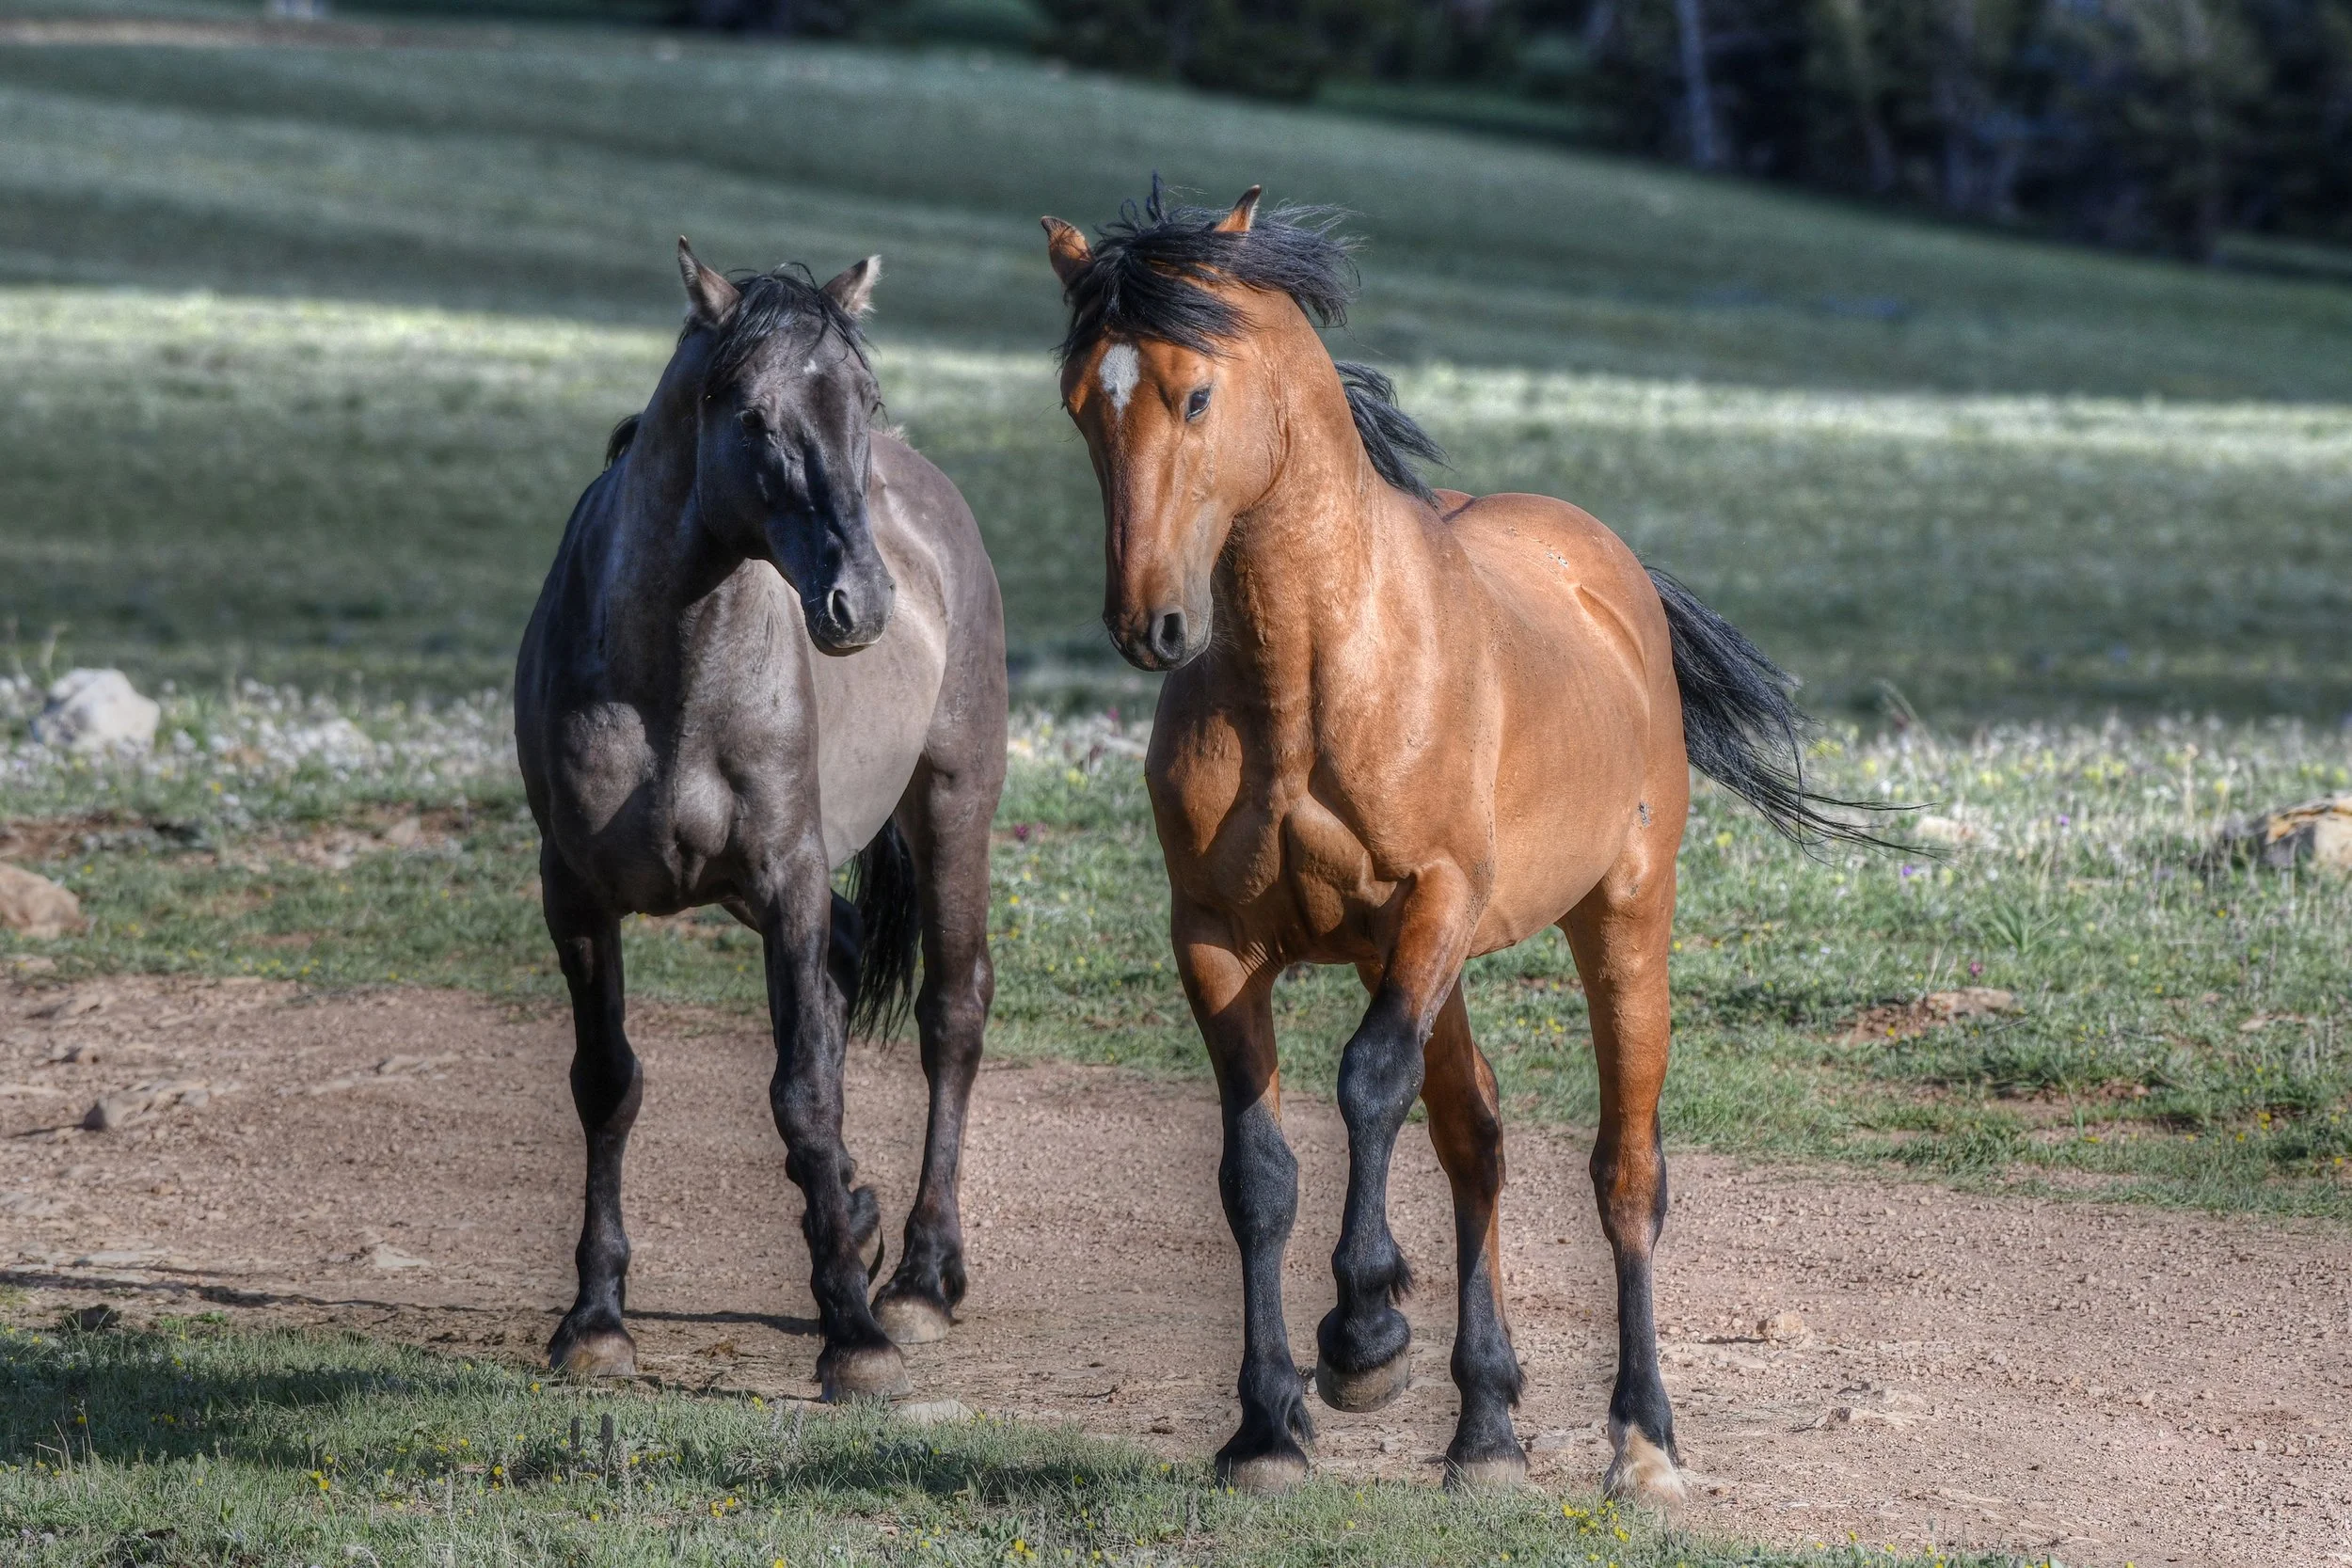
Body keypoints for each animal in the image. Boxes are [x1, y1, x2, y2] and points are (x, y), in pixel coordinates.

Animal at [515, 240, 1006, 1402]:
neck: (673, 680)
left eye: (864, 400)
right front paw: (595, 1320)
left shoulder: (785, 875)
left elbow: (804, 1093)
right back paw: (864, 1225)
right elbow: (607, 1083)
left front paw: (856, 1336)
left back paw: (919, 1278)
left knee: (951, 1014)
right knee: (846, 974)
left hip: (954, 801)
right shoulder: (577, 894)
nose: (861, 604)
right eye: (751, 414)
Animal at [1039, 184, 1875, 1499]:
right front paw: (1267, 1427)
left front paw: (1364, 1334)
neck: (1309, 673)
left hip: (1615, 919)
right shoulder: (1216, 941)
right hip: (1432, 959)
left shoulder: (1431, 898)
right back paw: (1483, 1426)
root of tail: (1611, 575)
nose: (1149, 623)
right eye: (1082, 399)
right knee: (1473, 1139)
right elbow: (1257, 1172)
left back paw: (1643, 1442)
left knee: (1622, 1172)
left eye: (1197, 393)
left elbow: (1365, 1083)